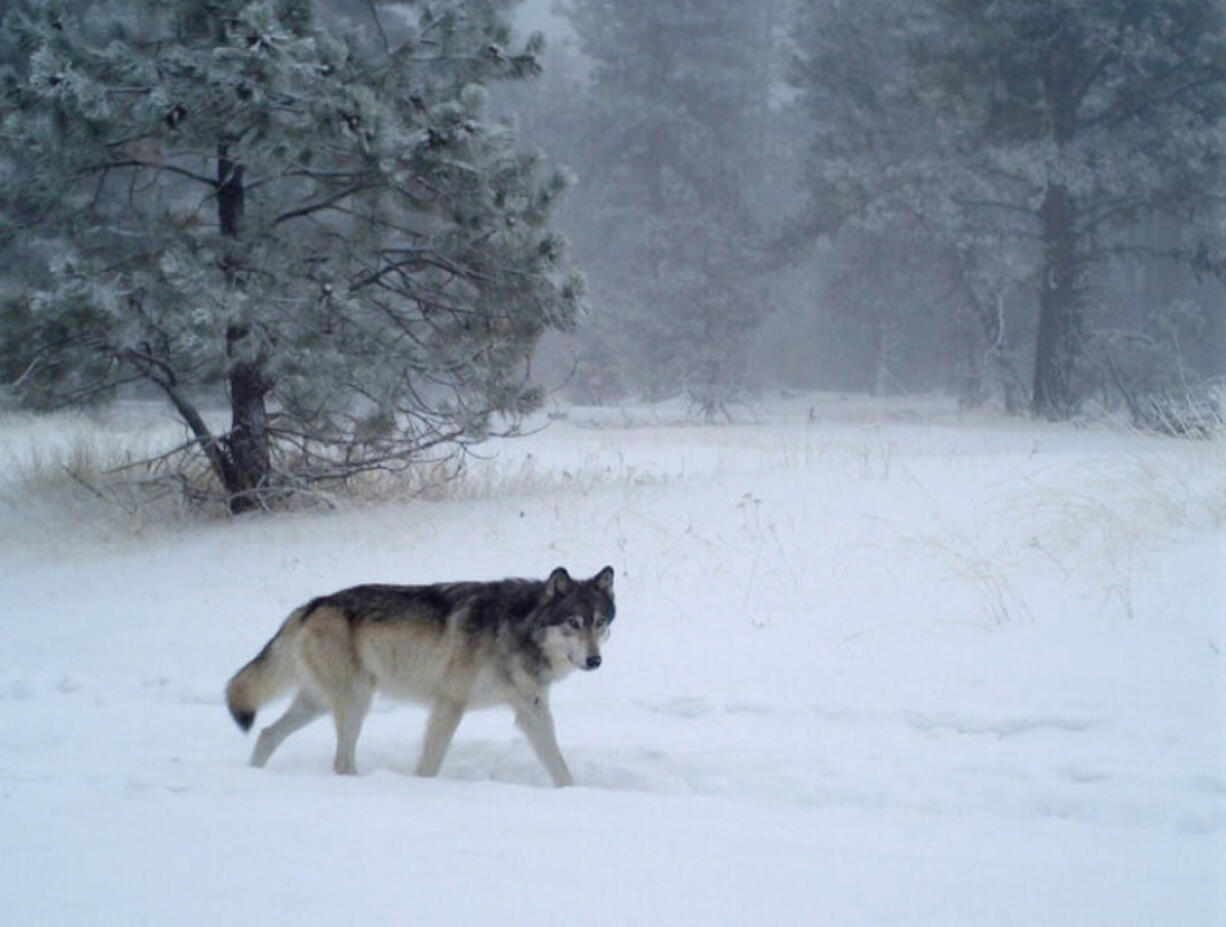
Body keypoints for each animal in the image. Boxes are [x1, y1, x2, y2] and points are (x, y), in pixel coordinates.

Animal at [223, 564, 613, 789]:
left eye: (599, 622)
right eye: (573, 622)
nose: (595, 660)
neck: (516, 629)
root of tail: (310, 606)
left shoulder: (532, 710)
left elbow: (558, 765)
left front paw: (572, 793)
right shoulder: (449, 704)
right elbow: (430, 763)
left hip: (318, 704)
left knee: (266, 734)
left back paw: (254, 774)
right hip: (355, 703)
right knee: (340, 761)